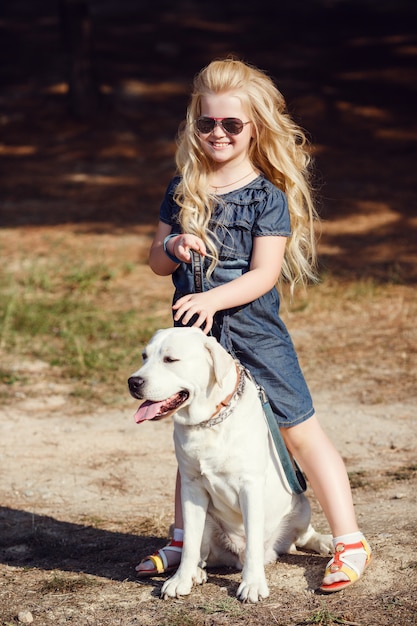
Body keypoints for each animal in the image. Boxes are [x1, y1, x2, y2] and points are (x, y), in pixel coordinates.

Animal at [127, 326, 332, 600]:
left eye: (170, 359)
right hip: (209, 523)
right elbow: (190, 543)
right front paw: (180, 580)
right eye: (144, 357)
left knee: (301, 537)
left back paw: (326, 542)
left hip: (301, 506)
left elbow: (254, 540)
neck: (209, 422)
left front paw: (253, 583)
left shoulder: (250, 487)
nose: (133, 382)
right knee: (201, 553)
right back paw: (196, 573)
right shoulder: (191, 488)